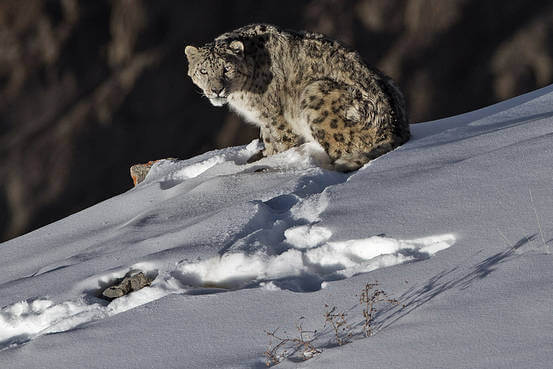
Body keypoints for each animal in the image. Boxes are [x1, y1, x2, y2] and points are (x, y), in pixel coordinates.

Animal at [187, 23, 410, 170]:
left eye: (227, 68)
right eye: (203, 71)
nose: (216, 90)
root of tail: (395, 128)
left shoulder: (275, 116)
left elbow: (281, 140)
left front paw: (275, 160)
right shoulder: (265, 120)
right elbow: (268, 139)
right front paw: (264, 155)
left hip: (316, 94)